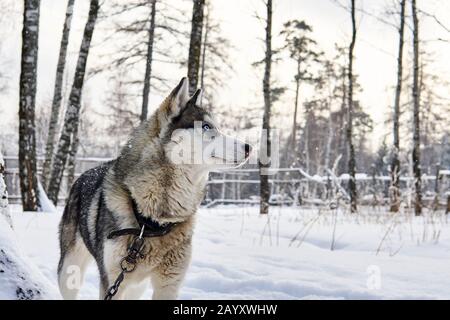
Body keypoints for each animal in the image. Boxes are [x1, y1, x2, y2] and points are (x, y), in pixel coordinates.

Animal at [57, 78, 250, 300]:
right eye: (207, 126)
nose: (249, 147)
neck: (152, 222)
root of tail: (83, 175)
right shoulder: (111, 281)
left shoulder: (169, 283)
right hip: (70, 272)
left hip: (135, 286)